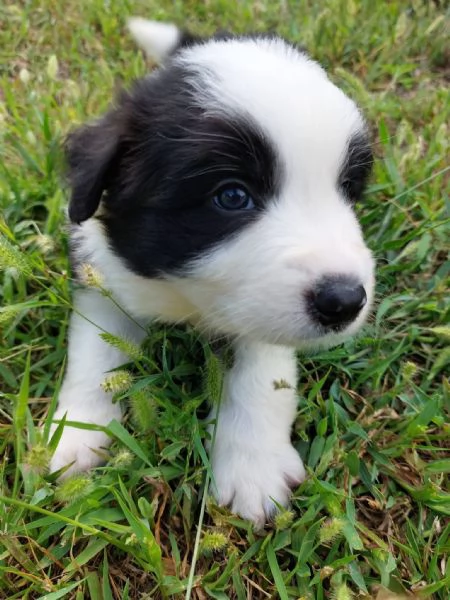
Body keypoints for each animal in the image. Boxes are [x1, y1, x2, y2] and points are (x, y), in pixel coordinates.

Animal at [49, 17, 374, 524]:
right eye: (232, 196)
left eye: (347, 189)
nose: (344, 301)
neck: (184, 295)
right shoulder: (100, 273)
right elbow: (95, 355)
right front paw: (80, 435)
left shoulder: (261, 314)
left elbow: (261, 380)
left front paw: (253, 468)